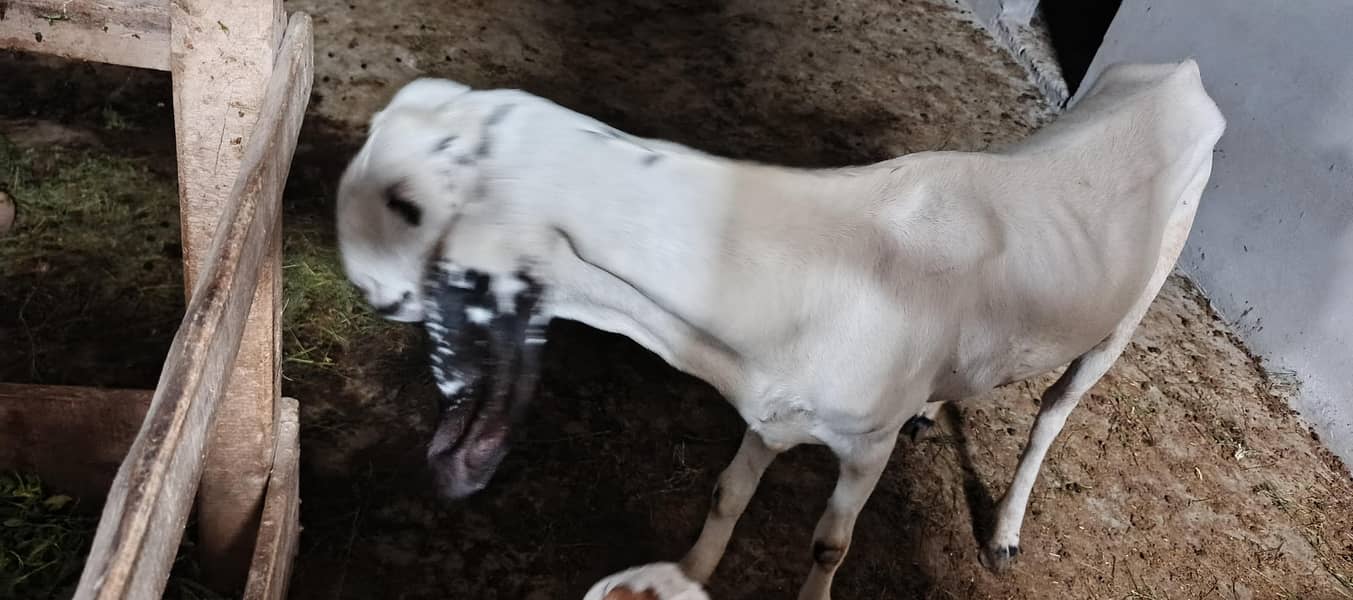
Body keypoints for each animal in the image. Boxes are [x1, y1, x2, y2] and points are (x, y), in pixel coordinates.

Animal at [335, 60, 1225, 599]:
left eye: (406, 203)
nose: (370, 289)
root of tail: (1177, 76)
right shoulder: (769, 410)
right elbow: (726, 495)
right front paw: (690, 569)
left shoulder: (864, 445)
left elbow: (828, 546)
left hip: (1124, 315)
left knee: (1051, 413)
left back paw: (1003, 532)